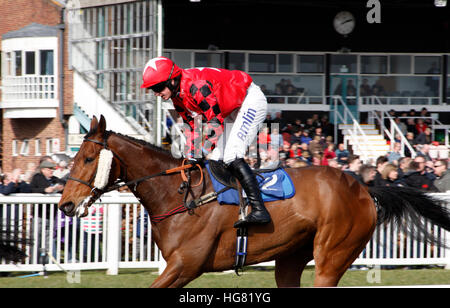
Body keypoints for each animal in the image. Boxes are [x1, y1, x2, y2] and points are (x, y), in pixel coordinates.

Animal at [58, 114, 450, 288]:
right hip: (291, 259)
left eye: (88, 158)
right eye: (73, 157)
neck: (178, 194)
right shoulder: (179, 267)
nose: (64, 205)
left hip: (332, 254)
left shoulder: (185, 265)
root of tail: (364, 189)